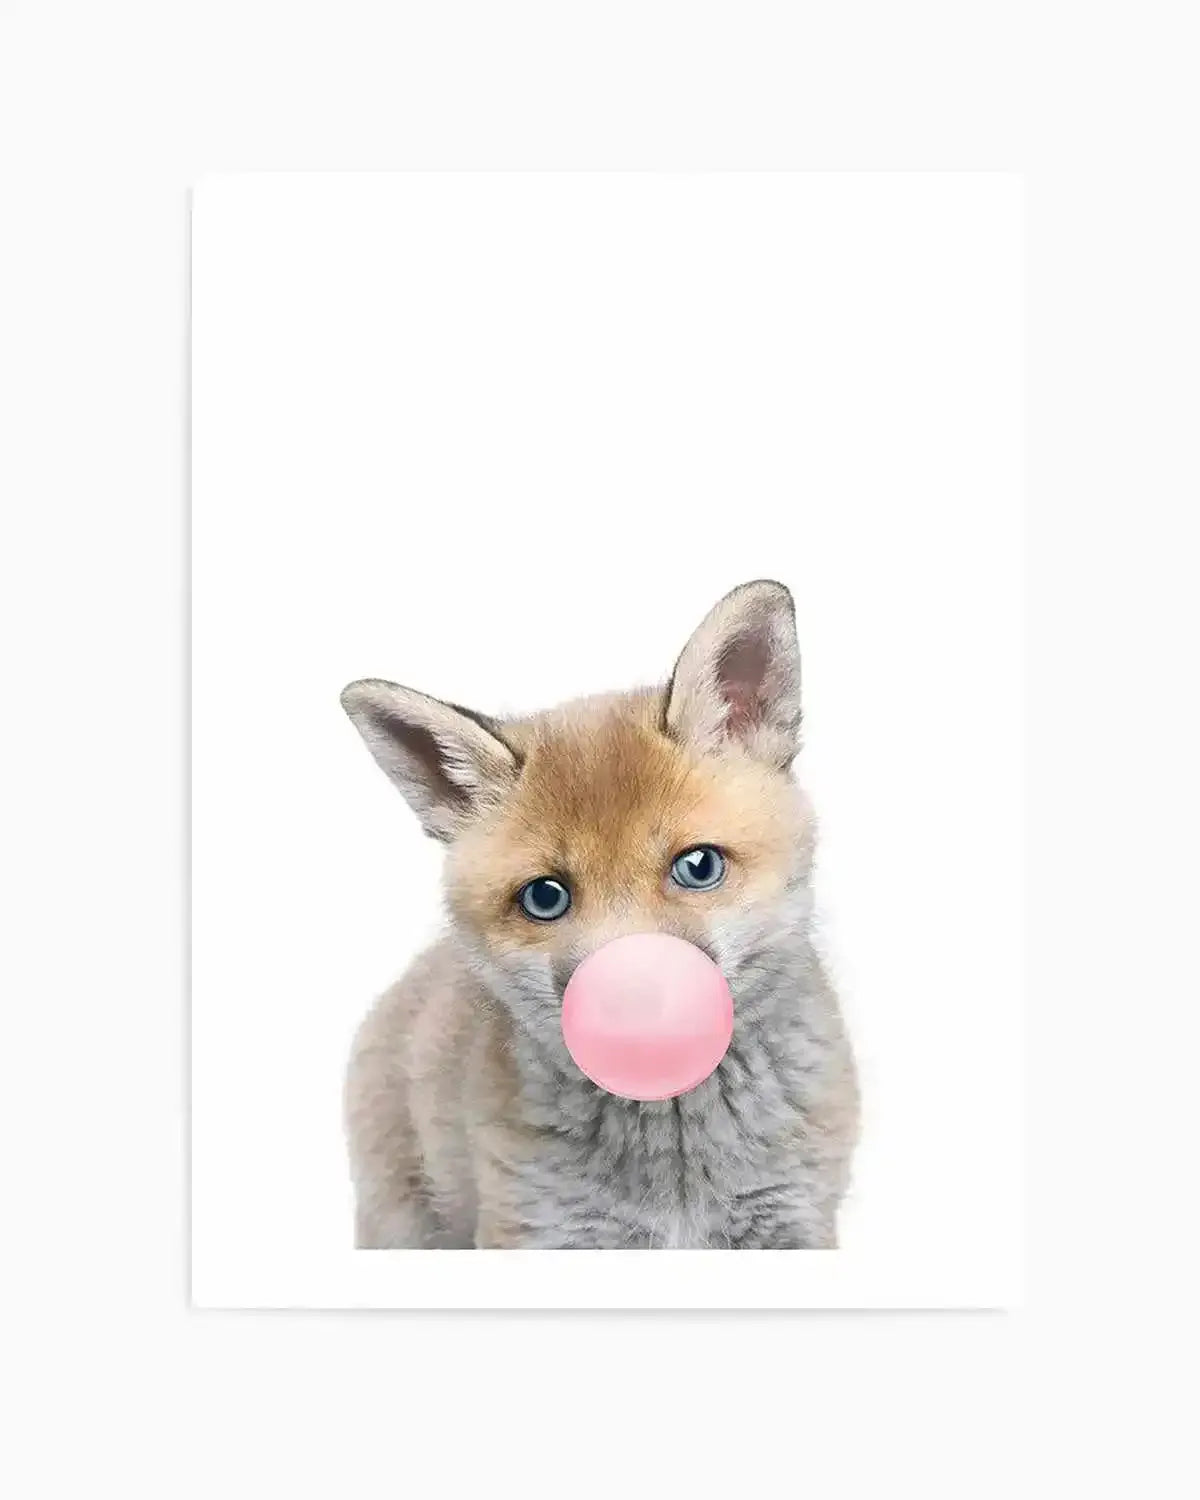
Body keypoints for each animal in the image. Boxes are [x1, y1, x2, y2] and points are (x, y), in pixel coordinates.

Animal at [340, 579, 859, 1249]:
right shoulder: (540, 1228)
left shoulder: (794, 1218)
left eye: (698, 866)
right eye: (545, 897)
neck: (677, 1177)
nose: (631, 1003)